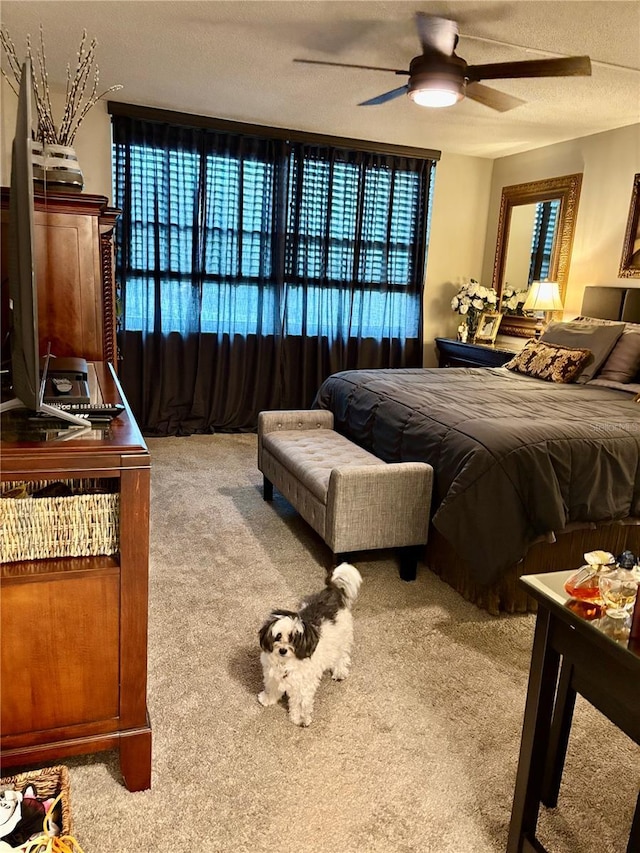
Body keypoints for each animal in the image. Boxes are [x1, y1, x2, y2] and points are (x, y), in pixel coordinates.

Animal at [258, 560, 362, 724]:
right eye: (278, 636)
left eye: (293, 639)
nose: (283, 650)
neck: (285, 663)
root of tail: (332, 590)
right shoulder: (272, 676)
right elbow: (272, 688)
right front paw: (268, 699)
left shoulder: (303, 686)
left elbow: (301, 703)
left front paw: (301, 718)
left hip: (343, 638)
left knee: (342, 656)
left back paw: (339, 671)